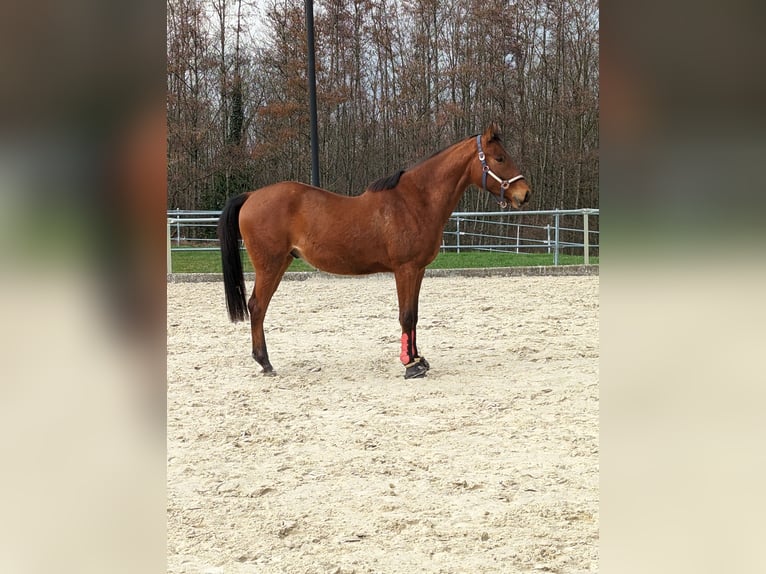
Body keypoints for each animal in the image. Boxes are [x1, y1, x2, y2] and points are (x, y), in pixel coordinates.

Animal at [213, 124, 532, 380]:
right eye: (500, 158)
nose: (525, 194)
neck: (414, 202)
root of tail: (251, 196)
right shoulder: (404, 269)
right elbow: (406, 316)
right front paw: (410, 366)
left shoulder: (418, 270)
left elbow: (415, 315)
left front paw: (418, 358)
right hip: (270, 265)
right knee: (257, 306)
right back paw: (265, 362)